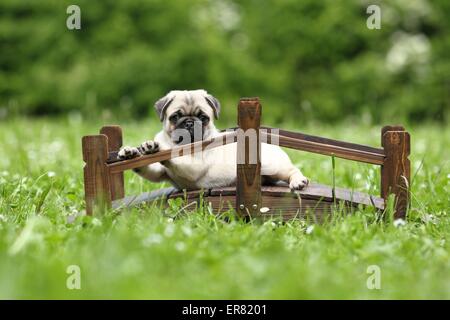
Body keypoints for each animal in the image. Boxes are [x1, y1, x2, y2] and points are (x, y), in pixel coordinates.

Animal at [117, 89, 310, 191]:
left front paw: (161, 150)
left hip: (274, 166)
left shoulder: (194, 166)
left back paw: (298, 181)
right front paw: (133, 151)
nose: (189, 122)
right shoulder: (159, 172)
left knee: (292, 170)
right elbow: (147, 167)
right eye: (175, 117)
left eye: (203, 118)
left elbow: (176, 157)